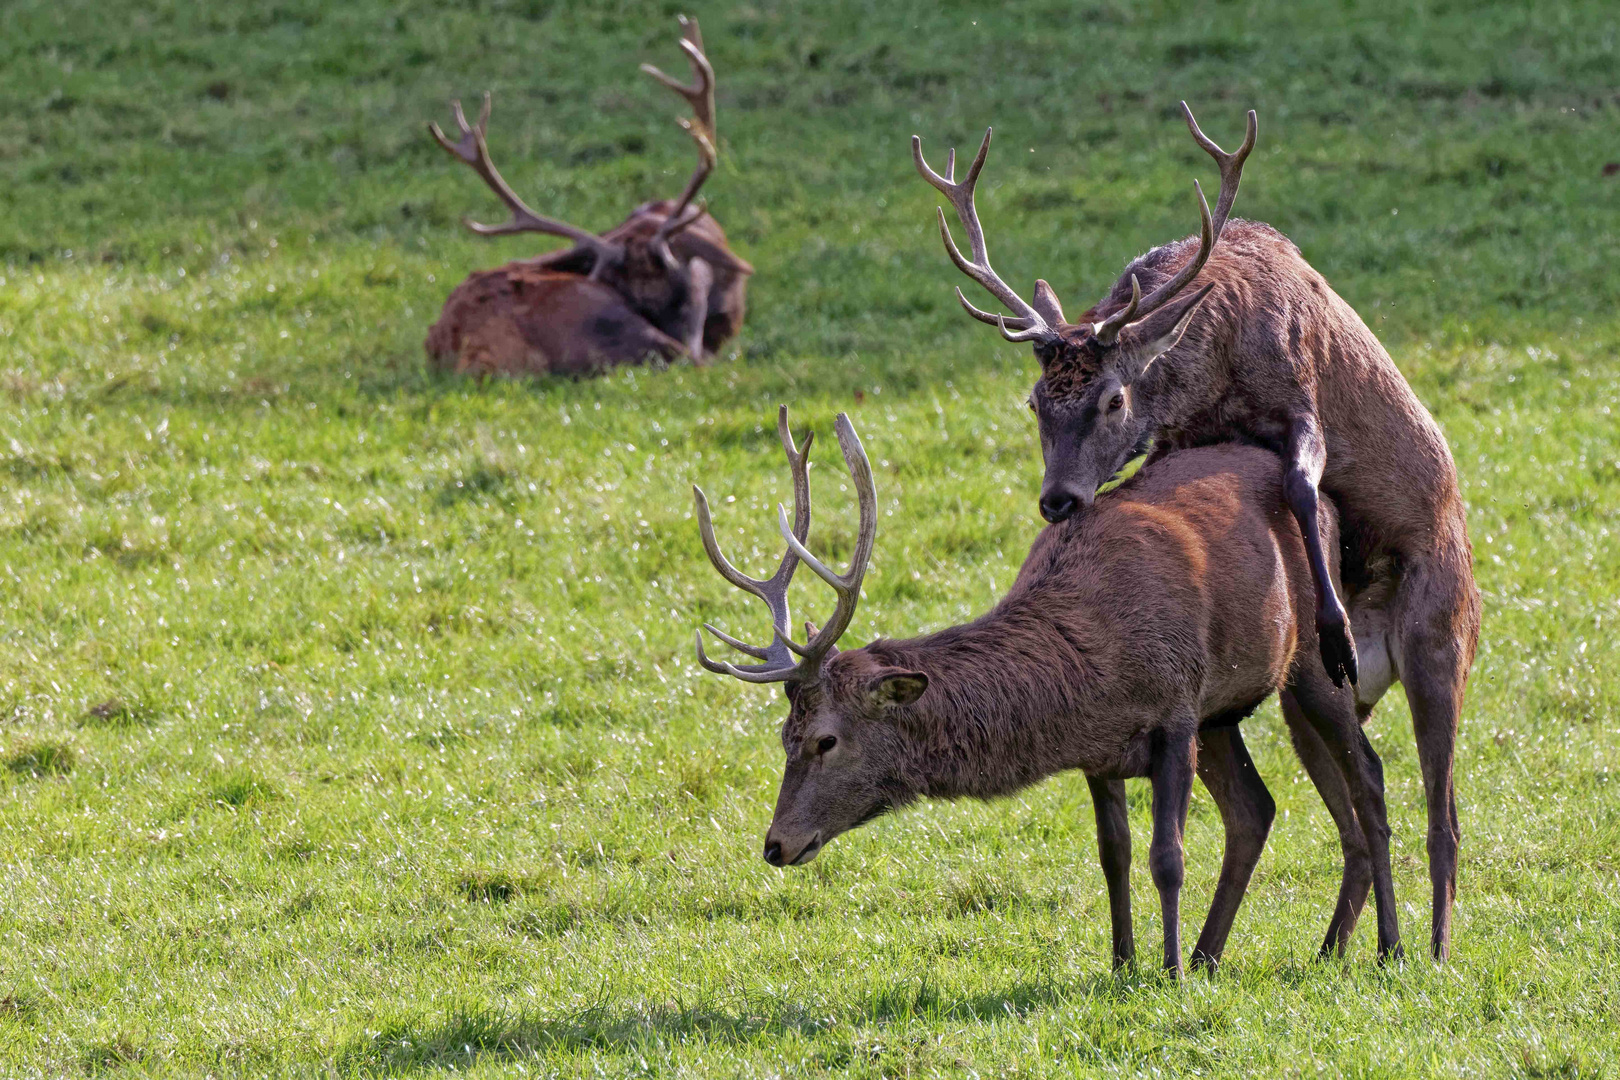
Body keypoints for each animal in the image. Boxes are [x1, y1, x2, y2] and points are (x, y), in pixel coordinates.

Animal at [696, 409, 1406, 977]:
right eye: (782, 737)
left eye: (826, 741)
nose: (775, 844)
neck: (1090, 669)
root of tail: (1326, 500)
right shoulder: (1103, 751)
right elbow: (1114, 856)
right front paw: (1124, 965)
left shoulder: (1177, 710)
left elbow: (1167, 856)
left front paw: (1169, 972)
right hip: (1227, 712)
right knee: (1257, 809)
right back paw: (1240, 953)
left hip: (1314, 659)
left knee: (1368, 778)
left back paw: (1384, 949)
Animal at [913, 103, 1483, 965]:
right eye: (1035, 403)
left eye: (1113, 399)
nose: (1057, 500)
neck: (1216, 359)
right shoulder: (1184, 440)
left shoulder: (1300, 389)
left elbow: (1299, 483)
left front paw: (1334, 623)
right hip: (1303, 701)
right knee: (1345, 807)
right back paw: (1326, 948)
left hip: (1439, 640)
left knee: (1441, 812)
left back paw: (1434, 948)